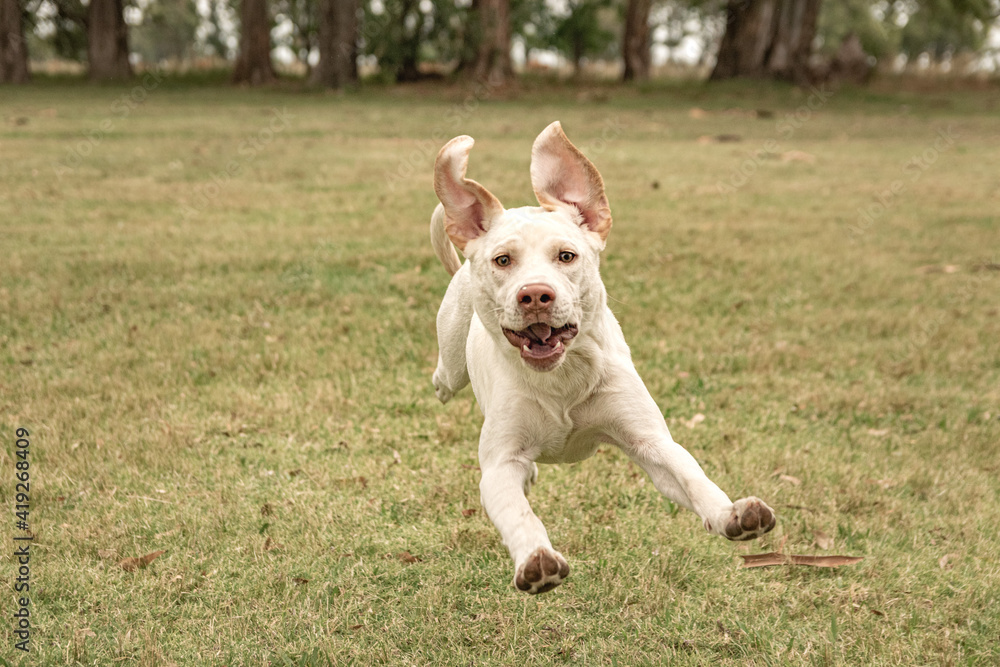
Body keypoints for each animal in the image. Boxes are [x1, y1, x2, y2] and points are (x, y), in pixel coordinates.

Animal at [428, 121, 772, 596]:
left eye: (566, 256)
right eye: (503, 260)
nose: (535, 295)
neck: (562, 377)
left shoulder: (649, 441)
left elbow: (691, 476)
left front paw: (730, 514)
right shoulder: (500, 464)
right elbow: (518, 513)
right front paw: (536, 561)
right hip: (451, 362)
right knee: (443, 381)